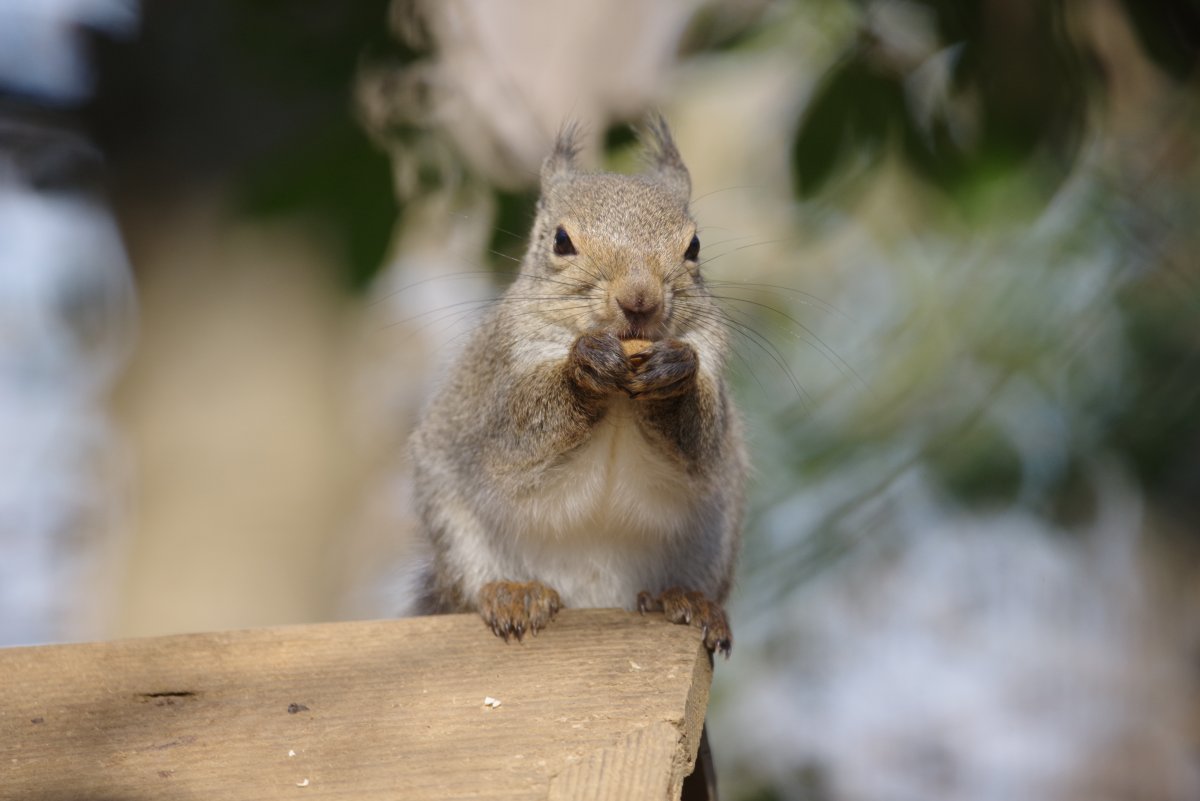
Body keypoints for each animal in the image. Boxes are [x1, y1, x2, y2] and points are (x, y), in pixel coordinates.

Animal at [408, 116, 747, 655]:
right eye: (561, 241)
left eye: (693, 246)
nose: (639, 299)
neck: (622, 396)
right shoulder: (499, 378)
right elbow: (519, 434)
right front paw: (583, 369)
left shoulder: (711, 364)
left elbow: (702, 442)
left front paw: (675, 373)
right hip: (456, 528)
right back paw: (513, 592)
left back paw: (684, 600)